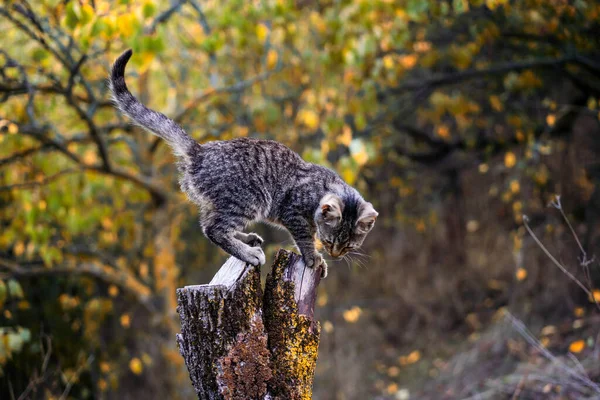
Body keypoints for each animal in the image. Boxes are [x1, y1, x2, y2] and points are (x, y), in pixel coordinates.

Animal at [110, 48, 378, 276]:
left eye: (348, 247)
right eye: (331, 241)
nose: (335, 253)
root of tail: (199, 151)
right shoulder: (293, 211)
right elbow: (304, 237)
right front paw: (313, 257)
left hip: (220, 202)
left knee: (210, 224)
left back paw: (246, 239)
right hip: (249, 198)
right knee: (214, 229)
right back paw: (248, 253)